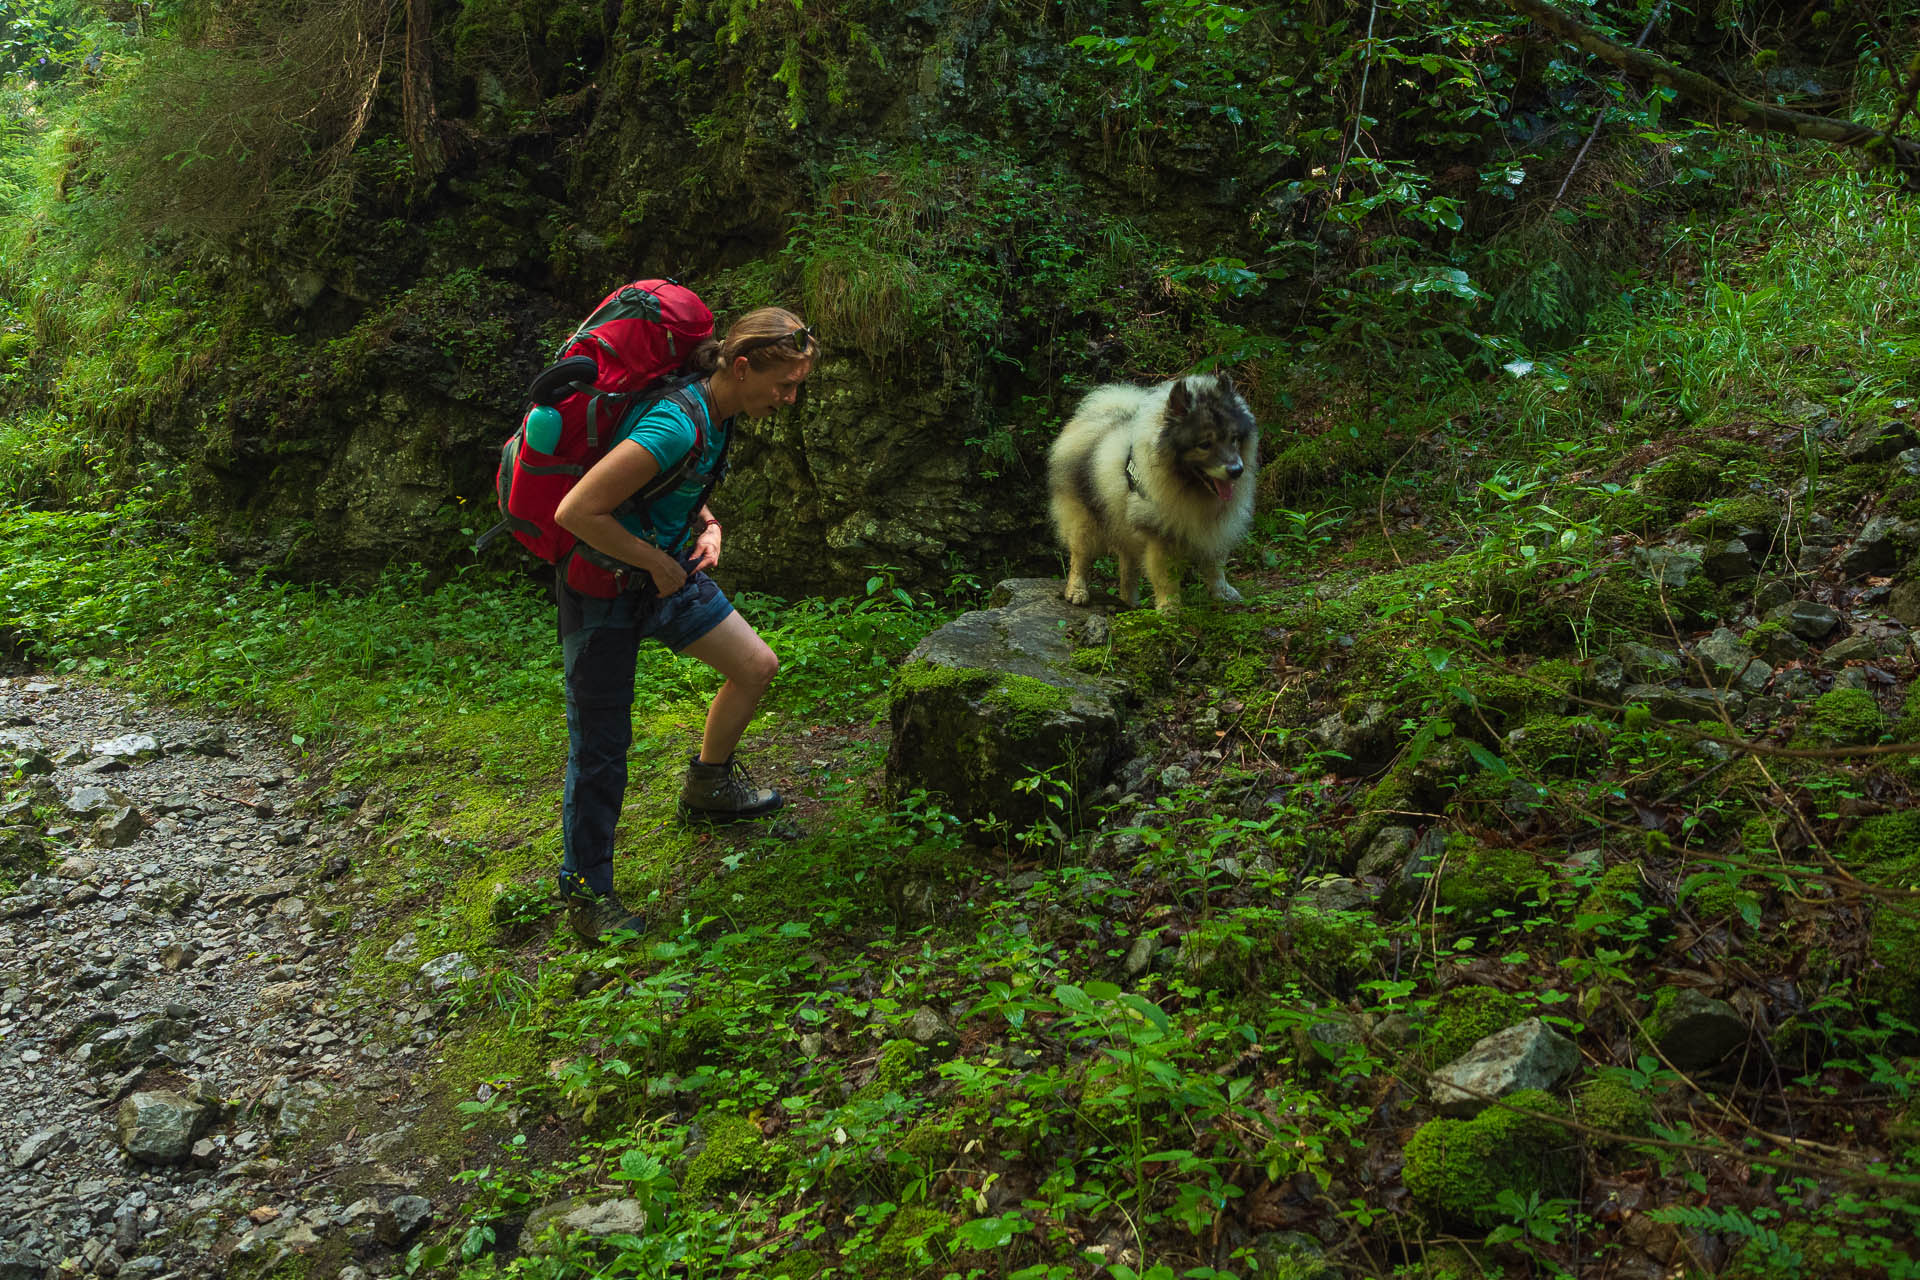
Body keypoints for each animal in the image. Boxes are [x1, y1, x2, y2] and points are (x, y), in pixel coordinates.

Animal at [1052, 372, 1259, 614]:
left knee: (1127, 567)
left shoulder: (1213, 530)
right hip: (1085, 523)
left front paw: (1222, 592)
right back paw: (1077, 591)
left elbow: (1215, 565)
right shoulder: (1160, 535)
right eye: (1205, 444)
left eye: (1234, 438)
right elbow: (1165, 575)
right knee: (1079, 558)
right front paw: (1170, 607)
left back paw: (1130, 602)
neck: (1190, 487)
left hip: (1122, 523)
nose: (1236, 470)